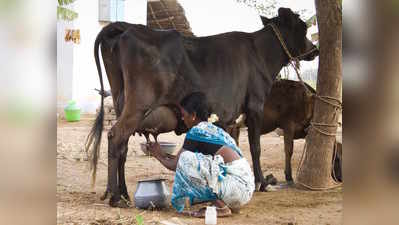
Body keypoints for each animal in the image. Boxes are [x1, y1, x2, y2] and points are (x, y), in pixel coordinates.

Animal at [86, 7, 318, 207]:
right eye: (303, 27)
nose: (315, 49)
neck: (260, 53)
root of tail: (127, 28)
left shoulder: (228, 118)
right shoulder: (255, 105)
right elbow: (255, 147)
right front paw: (262, 182)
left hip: (122, 104)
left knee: (122, 146)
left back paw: (124, 193)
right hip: (138, 105)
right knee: (116, 136)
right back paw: (115, 197)